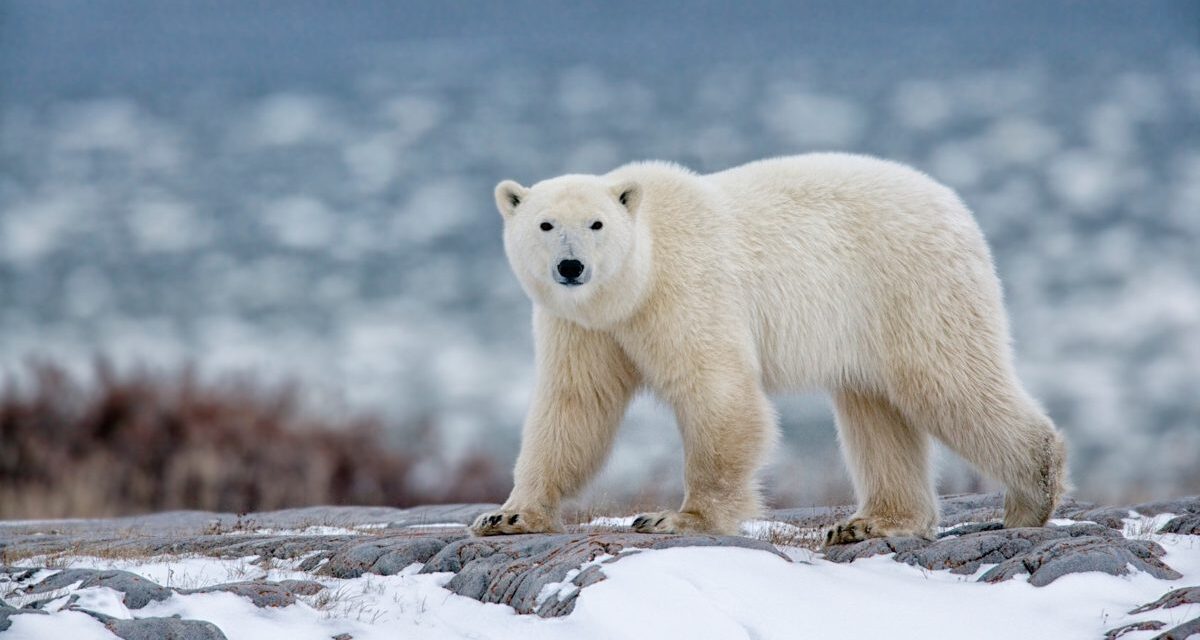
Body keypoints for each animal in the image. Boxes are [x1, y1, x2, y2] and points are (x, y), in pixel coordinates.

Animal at [468, 152, 1070, 540]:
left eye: (596, 224)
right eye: (545, 225)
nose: (571, 267)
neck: (636, 280)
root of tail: (956, 207)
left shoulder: (686, 290)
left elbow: (717, 393)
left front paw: (676, 518)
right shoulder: (583, 326)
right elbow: (574, 406)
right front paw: (507, 516)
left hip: (912, 286)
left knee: (949, 382)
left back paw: (1031, 496)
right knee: (875, 410)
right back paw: (870, 522)